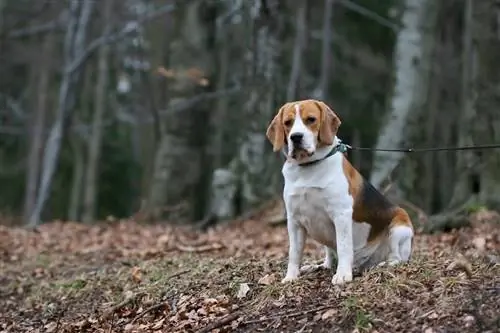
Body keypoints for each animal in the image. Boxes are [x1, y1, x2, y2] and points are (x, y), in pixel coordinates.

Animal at [266, 98, 414, 282]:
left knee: (397, 258)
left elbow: (344, 247)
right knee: (330, 256)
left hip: (399, 227)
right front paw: (291, 277)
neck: (309, 167)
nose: (296, 137)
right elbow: (294, 252)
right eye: (287, 122)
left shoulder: (341, 214)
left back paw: (384, 264)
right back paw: (321, 266)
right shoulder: (294, 220)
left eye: (311, 119)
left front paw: (343, 275)